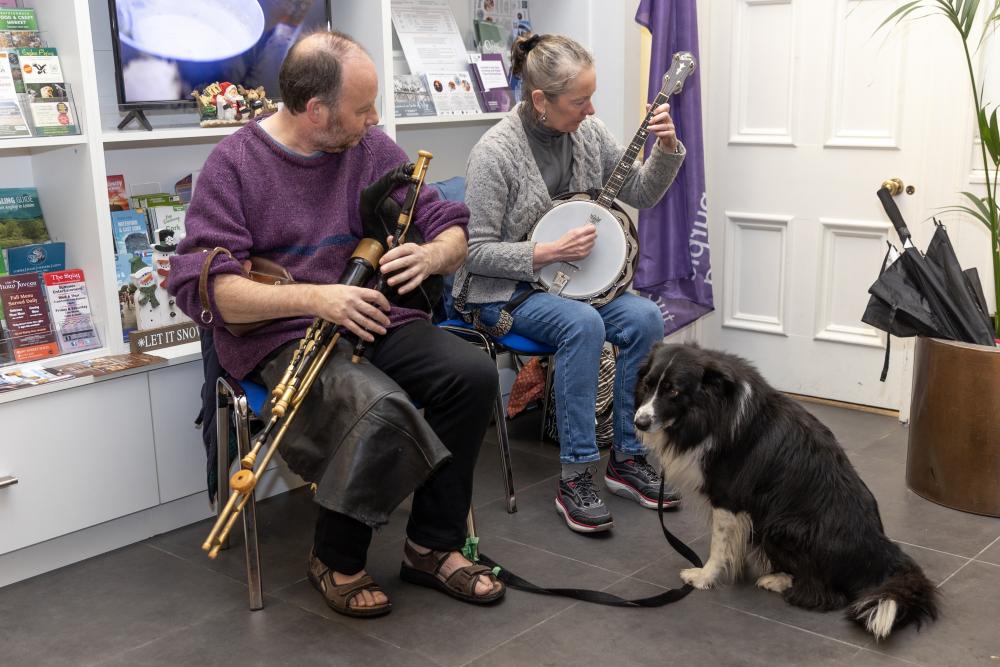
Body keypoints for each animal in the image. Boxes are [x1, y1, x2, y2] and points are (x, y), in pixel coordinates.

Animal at [632, 342, 936, 640]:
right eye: (647, 384)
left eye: (673, 391)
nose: (639, 422)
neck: (713, 408)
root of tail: (882, 552)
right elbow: (732, 541)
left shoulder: (727, 496)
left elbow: (718, 545)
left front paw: (704, 577)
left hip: (781, 526)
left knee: (827, 595)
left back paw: (778, 580)